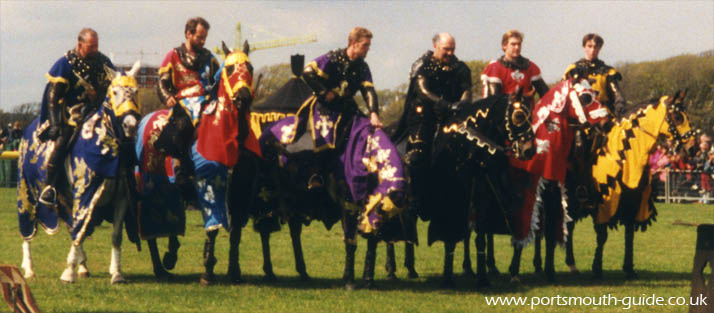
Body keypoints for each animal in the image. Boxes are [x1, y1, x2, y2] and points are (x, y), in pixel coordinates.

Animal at [18, 61, 143, 282]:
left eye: (135, 91)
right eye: (115, 92)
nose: (130, 125)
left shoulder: (121, 199)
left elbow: (114, 235)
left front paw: (116, 273)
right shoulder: (84, 192)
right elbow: (79, 231)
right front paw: (69, 272)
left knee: (73, 226)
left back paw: (83, 266)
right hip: (28, 193)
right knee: (28, 229)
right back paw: (30, 268)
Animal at [504, 77, 604, 282]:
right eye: (586, 97)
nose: (605, 119)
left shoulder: (559, 199)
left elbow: (553, 235)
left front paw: (551, 269)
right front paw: (515, 271)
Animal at [588, 88, 692, 278]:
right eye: (678, 117)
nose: (693, 148)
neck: (624, 156)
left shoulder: (633, 202)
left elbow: (629, 234)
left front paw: (629, 268)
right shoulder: (603, 204)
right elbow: (602, 235)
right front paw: (597, 268)